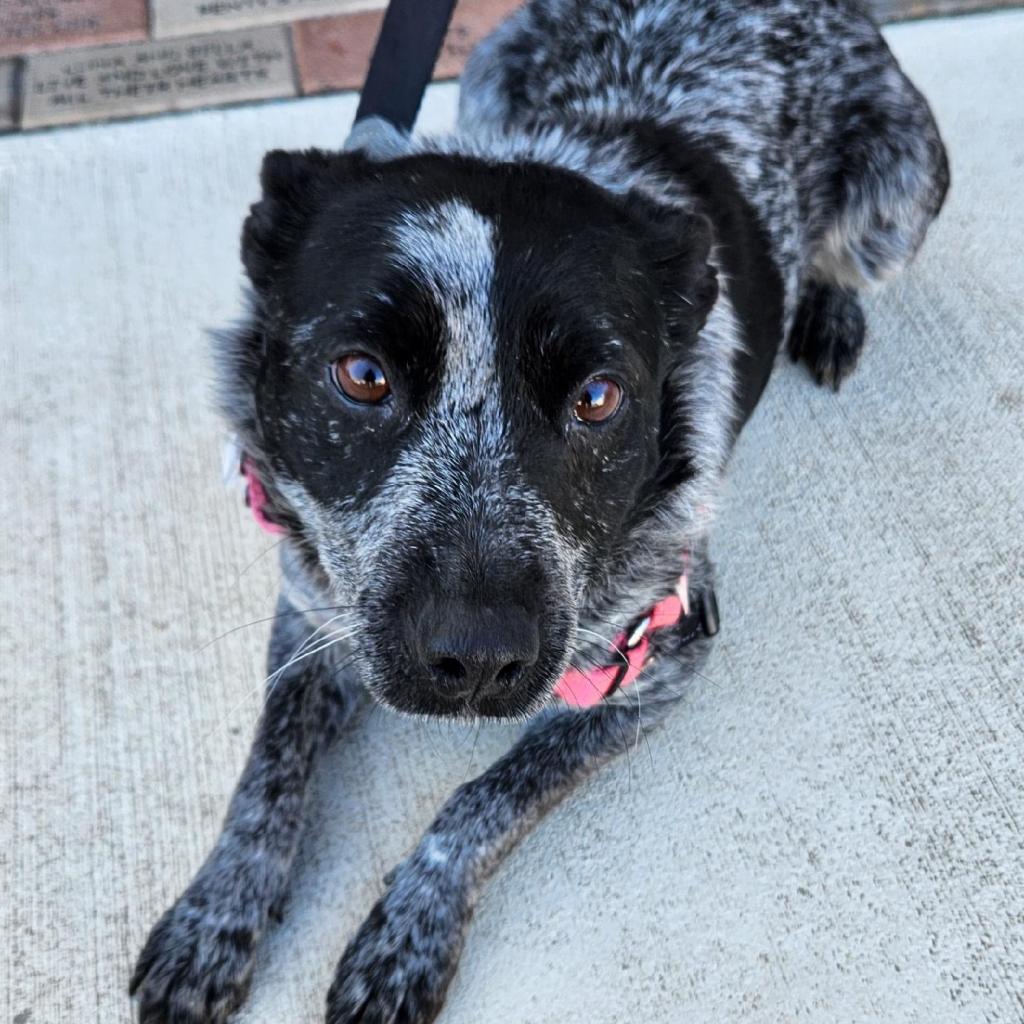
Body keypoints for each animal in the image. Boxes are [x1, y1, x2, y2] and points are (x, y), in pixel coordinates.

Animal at [132, 2, 946, 1024]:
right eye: (361, 374)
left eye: (598, 397)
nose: (477, 659)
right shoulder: (316, 606)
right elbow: (268, 766)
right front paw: (216, 916)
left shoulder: (655, 659)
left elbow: (485, 801)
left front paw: (406, 934)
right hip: (489, 59)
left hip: (899, 189)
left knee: (856, 258)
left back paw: (831, 312)